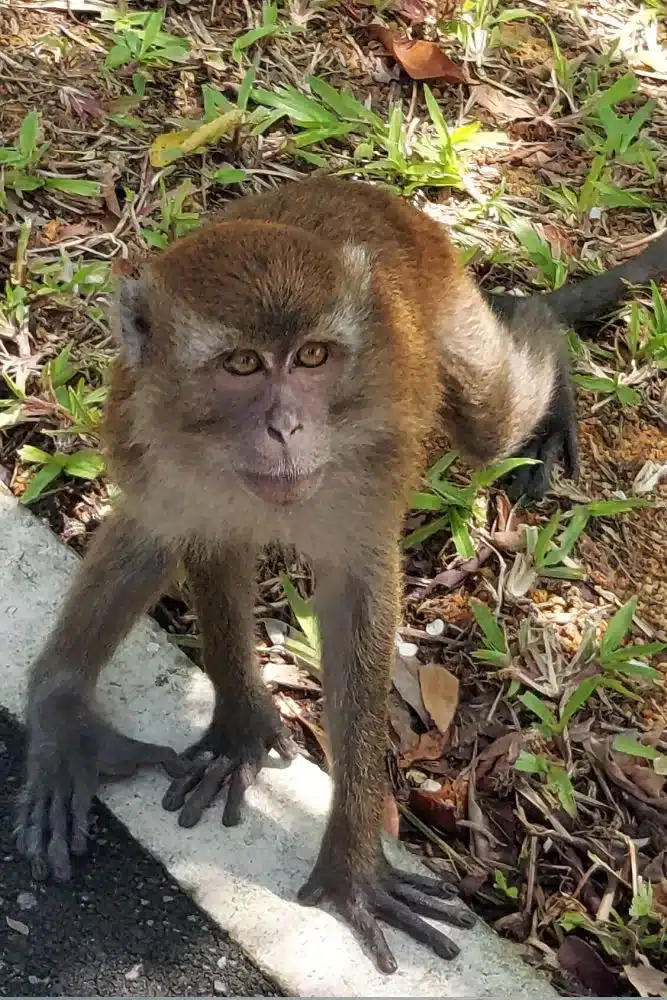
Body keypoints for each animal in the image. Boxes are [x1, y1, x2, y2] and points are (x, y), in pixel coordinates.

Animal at [15, 176, 667, 972]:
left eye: (313, 356)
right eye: (242, 365)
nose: (286, 427)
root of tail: (355, 189)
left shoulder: (366, 470)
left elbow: (356, 598)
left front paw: (353, 864)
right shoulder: (156, 435)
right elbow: (187, 535)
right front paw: (232, 727)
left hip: (448, 312)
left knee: (491, 418)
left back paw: (531, 325)